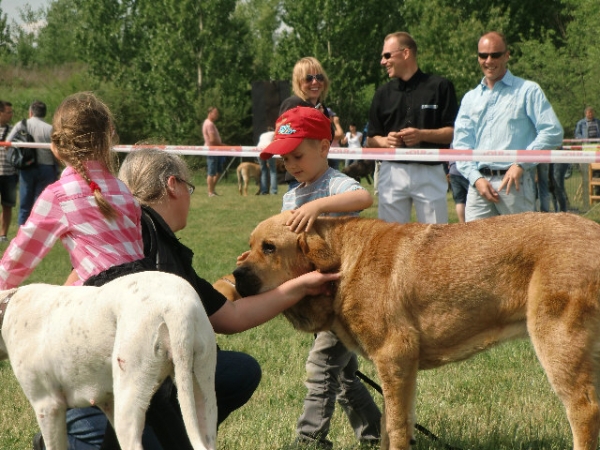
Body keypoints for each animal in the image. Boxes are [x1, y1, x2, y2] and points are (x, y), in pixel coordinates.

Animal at [0, 270, 218, 450]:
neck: (7, 306)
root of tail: (175, 308)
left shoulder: (48, 407)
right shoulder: (108, 403)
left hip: (128, 401)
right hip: (202, 394)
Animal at [234, 211, 600, 450]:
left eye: (269, 247)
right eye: (250, 246)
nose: (236, 274)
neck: (343, 260)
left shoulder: (395, 358)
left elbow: (395, 426)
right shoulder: (399, 370)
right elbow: (391, 423)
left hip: (557, 341)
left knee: (584, 410)